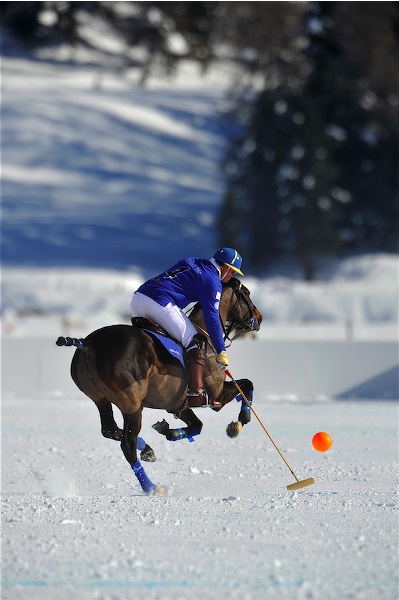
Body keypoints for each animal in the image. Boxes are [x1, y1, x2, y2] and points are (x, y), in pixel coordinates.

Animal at [56, 278, 262, 494]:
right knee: (127, 444)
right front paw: (238, 423)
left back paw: (147, 449)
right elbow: (246, 385)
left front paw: (168, 431)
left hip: (100, 399)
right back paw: (151, 487)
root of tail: (89, 344)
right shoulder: (216, 396)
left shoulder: (177, 405)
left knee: (110, 430)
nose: (259, 317)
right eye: (247, 294)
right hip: (132, 403)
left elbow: (197, 426)